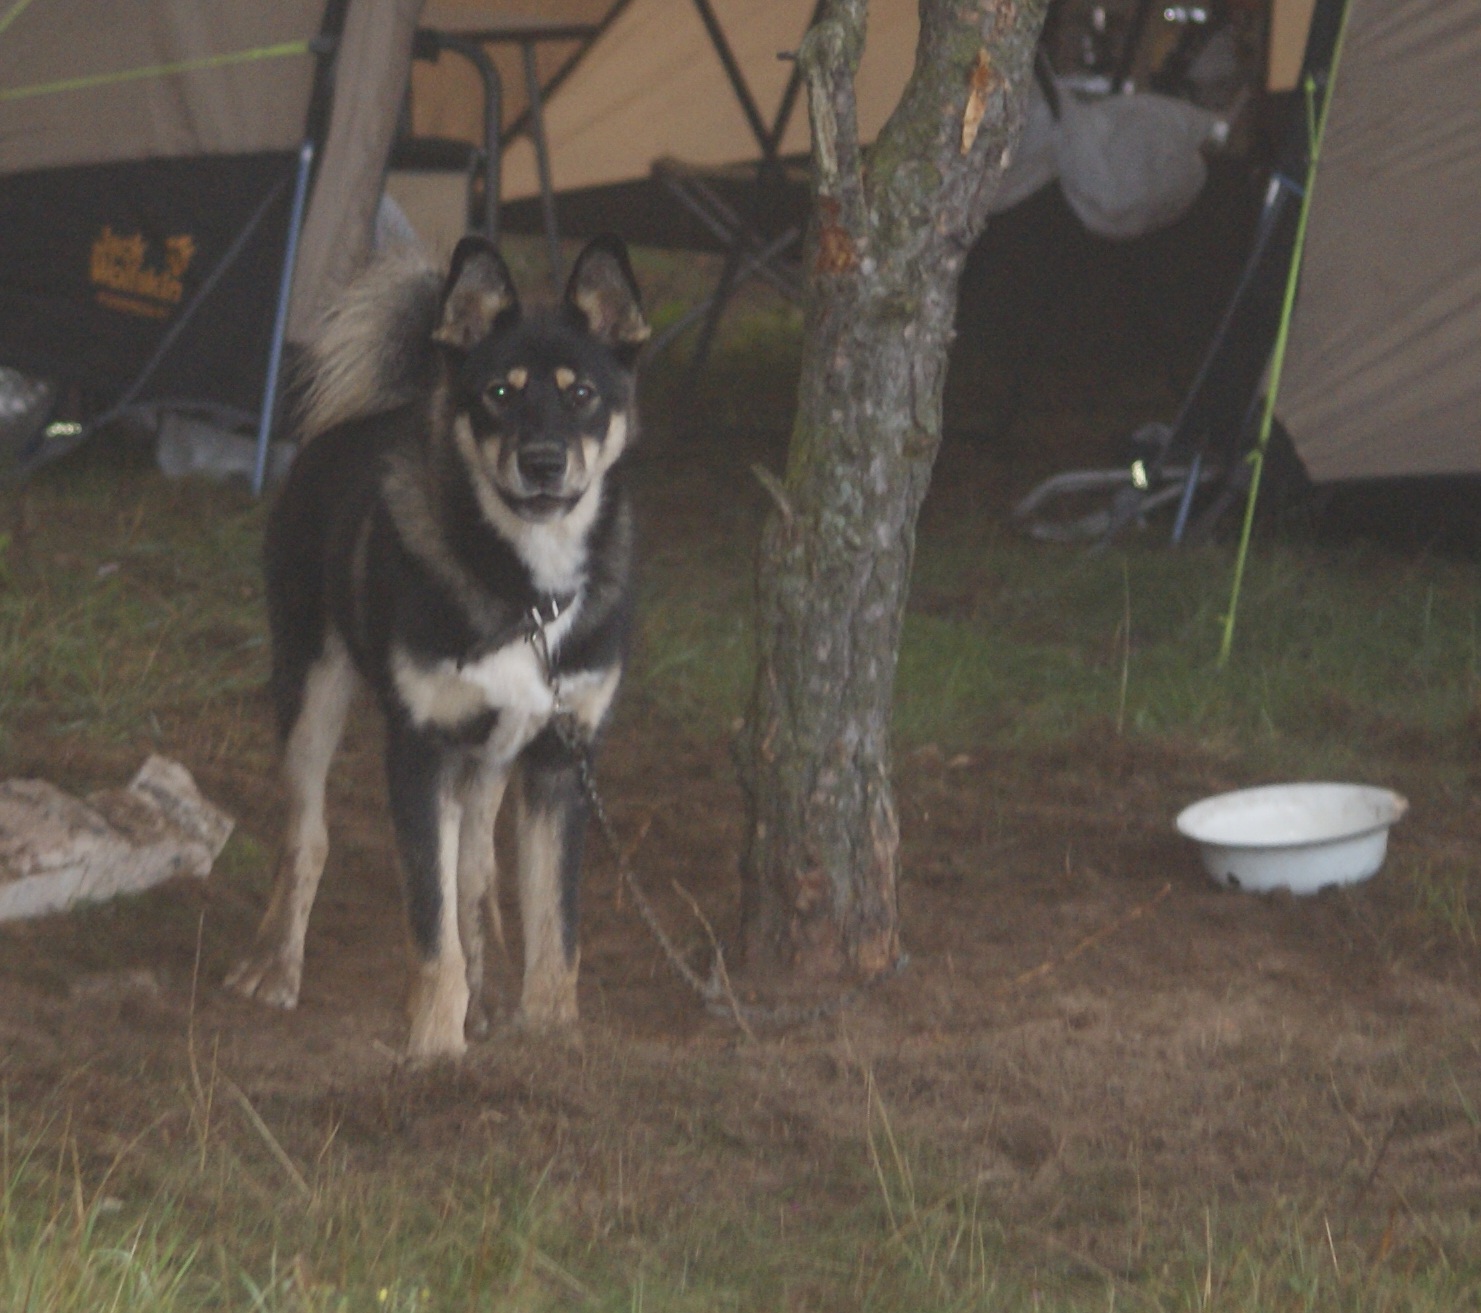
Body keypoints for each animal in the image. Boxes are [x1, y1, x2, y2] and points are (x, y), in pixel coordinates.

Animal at [225, 234, 649, 1060]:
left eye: (582, 392)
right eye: (499, 393)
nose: (543, 462)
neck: (527, 591)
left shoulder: (558, 759)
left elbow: (553, 926)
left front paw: (551, 1037)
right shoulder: (420, 750)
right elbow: (431, 923)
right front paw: (433, 1044)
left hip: (486, 759)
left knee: (476, 870)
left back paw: (486, 994)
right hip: (312, 688)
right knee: (308, 837)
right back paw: (275, 964)